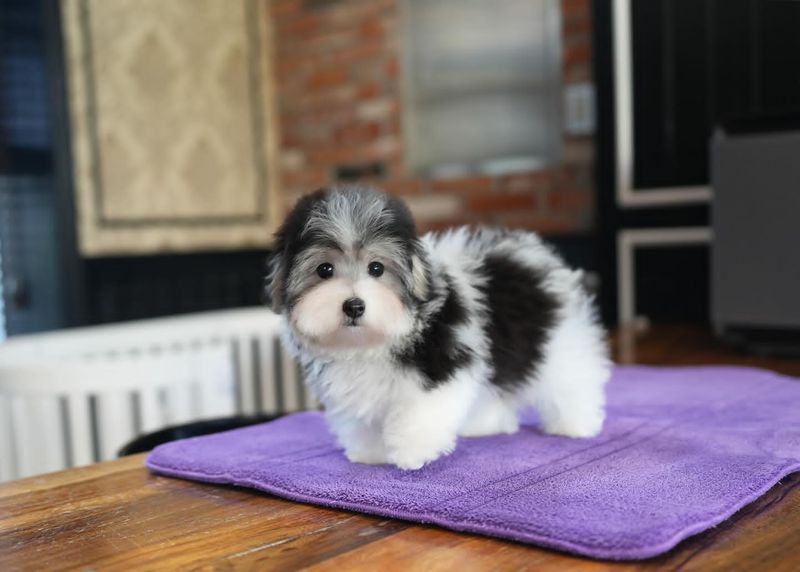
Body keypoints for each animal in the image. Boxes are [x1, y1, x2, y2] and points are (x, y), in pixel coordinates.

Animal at [266, 185, 608, 466]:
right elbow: (365, 417)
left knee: (571, 380)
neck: (371, 343)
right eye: (324, 270)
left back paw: (575, 424)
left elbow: (421, 411)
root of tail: (529, 253)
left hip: (558, 341)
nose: (353, 305)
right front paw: (372, 453)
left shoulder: (443, 366)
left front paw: (412, 452)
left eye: (376, 268)